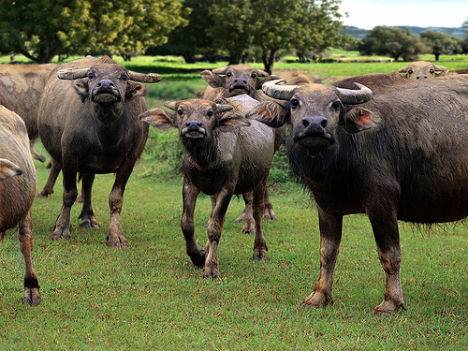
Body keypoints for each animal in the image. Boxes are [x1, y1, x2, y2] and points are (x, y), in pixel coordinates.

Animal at [140, 95, 274, 278]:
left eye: (210, 113)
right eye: (180, 111)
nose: (194, 125)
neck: (206, 159)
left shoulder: (227, 187)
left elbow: (215, 226)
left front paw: (211, 267)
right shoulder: (189, 184)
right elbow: (187, 224)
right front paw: (198, 256)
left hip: (261, 178)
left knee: (257, 212)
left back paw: (259, 250)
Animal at [249, 77, 468, 314]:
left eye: (336, 104)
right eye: (295, 103)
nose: (315, 124)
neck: (339, 165)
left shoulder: (381, 204)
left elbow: (390, 253)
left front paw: (391, 301)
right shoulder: (326, 207)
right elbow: (327, 252)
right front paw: (319, 296)